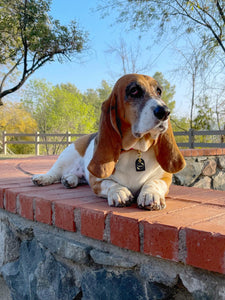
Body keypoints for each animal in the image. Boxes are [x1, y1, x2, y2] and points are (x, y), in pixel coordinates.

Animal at [32, 74, 185, 210]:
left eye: (159, 91)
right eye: (134, 90)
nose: (165, 112)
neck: (136, 150)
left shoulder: (165, 178)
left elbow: (154, 182)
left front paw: (150, 194)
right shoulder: (96, 182)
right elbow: (110, 183)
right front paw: (119, 192)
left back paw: (69, 179)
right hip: (66, 156)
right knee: (54, 173)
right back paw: (43, 178)